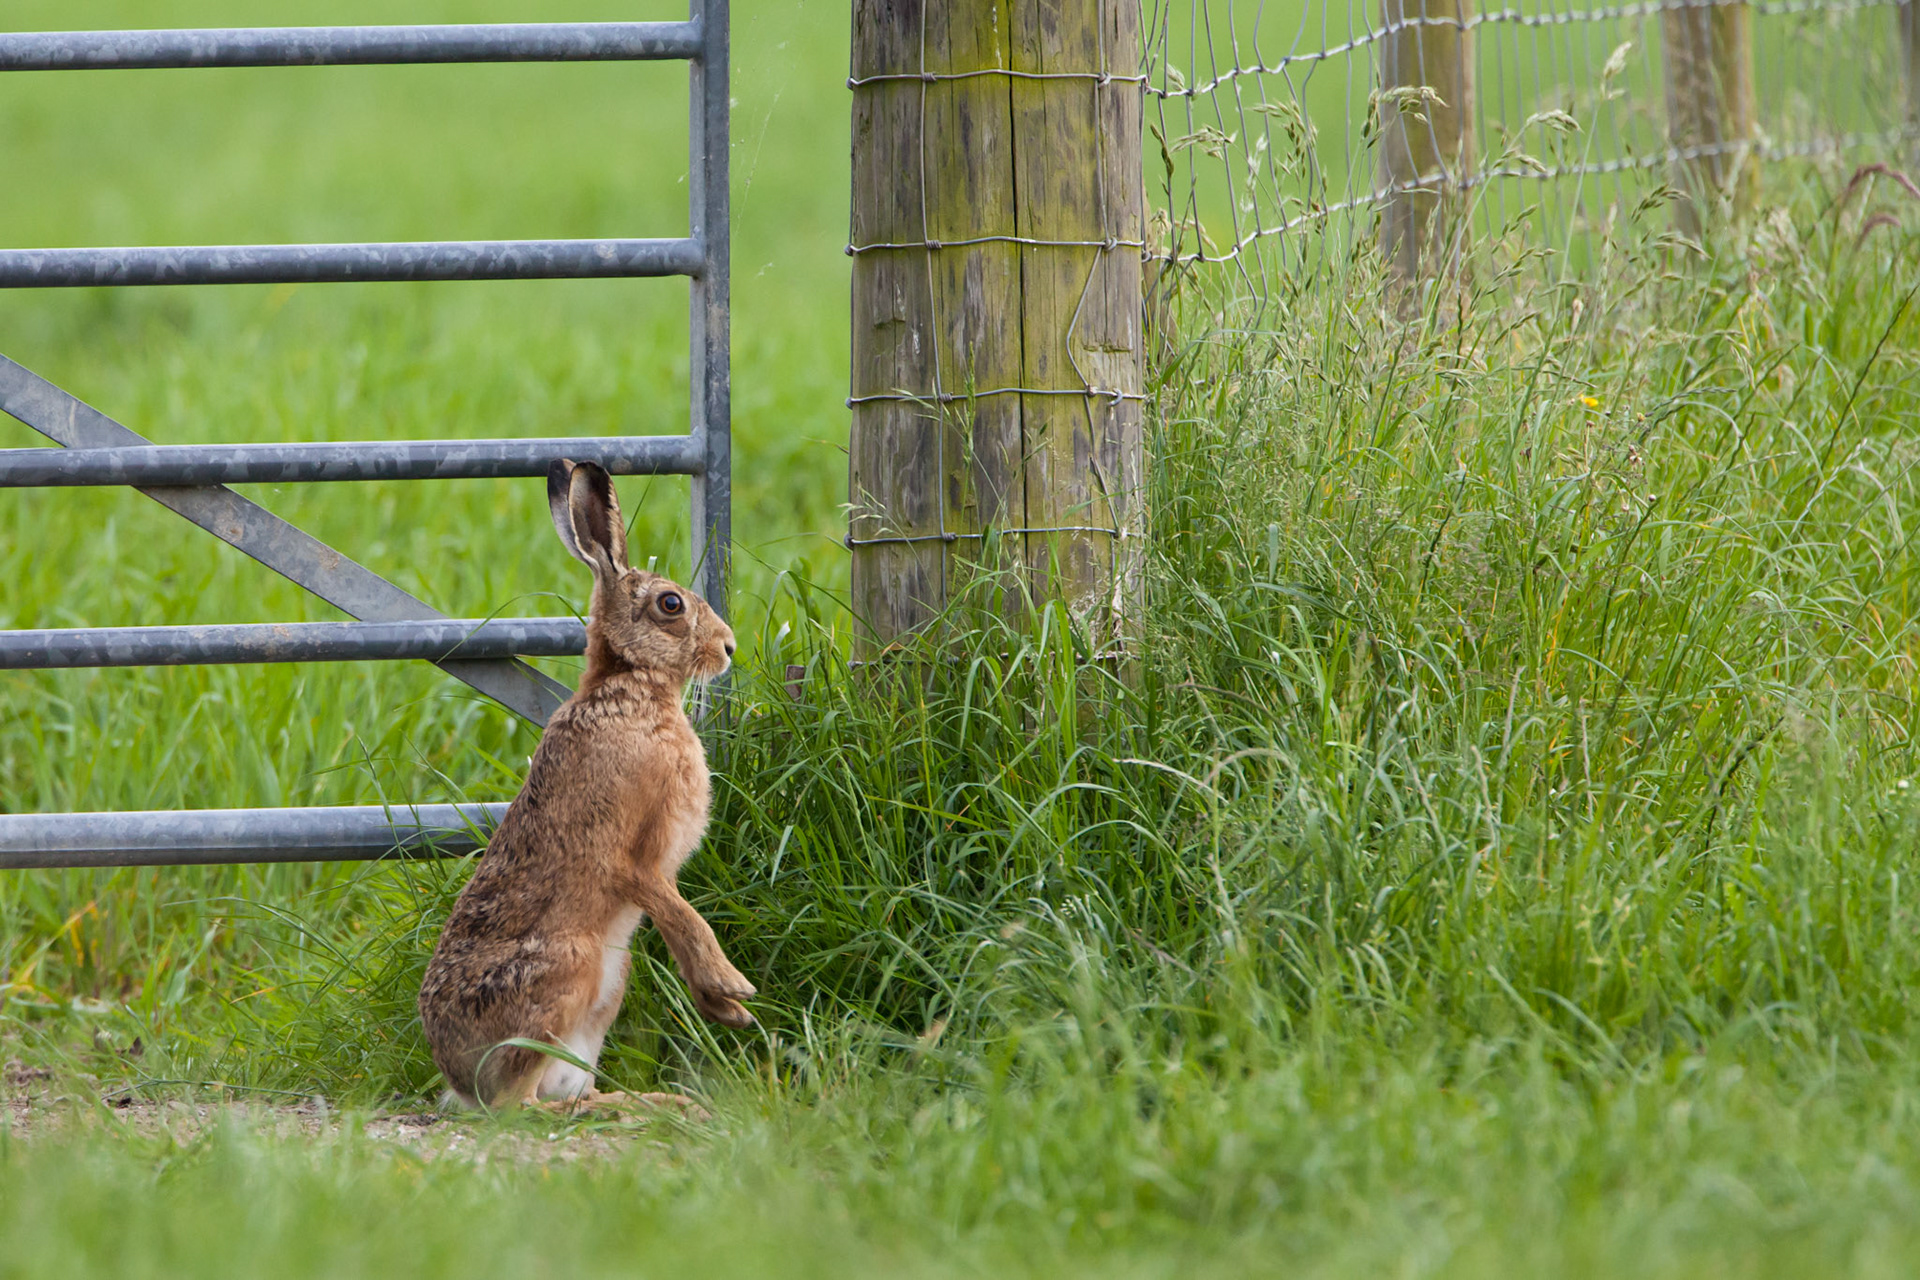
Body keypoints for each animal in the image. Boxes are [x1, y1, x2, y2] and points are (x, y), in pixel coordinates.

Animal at [417, 458, 756, 1111]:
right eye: (670, 604)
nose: (728, 647)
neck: (631, 689)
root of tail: (458, 1078)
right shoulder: (630, 859)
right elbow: (683, 916)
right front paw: (733, 988)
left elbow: (678, 918)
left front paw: (723, 1007)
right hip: (569, 966)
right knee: (516, 1106)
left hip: (609, 983)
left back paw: (653, 1102)